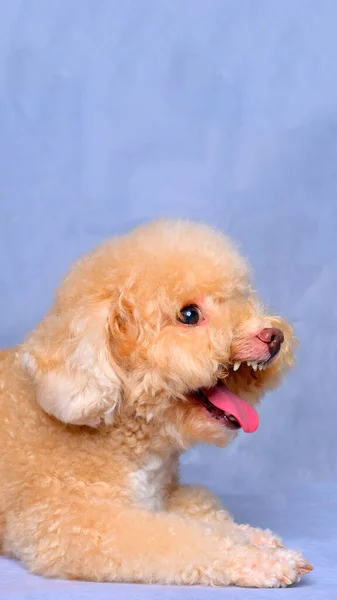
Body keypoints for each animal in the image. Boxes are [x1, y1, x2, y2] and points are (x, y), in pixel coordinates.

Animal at [0, 219, 312, 584]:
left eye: (239, 298)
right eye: (189, 314)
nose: (273, 337)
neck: (120, 432)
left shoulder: (164, 498)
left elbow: (208, 520)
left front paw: (256, 537)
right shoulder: (73, 522)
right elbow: (186, 538)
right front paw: (262, 560)